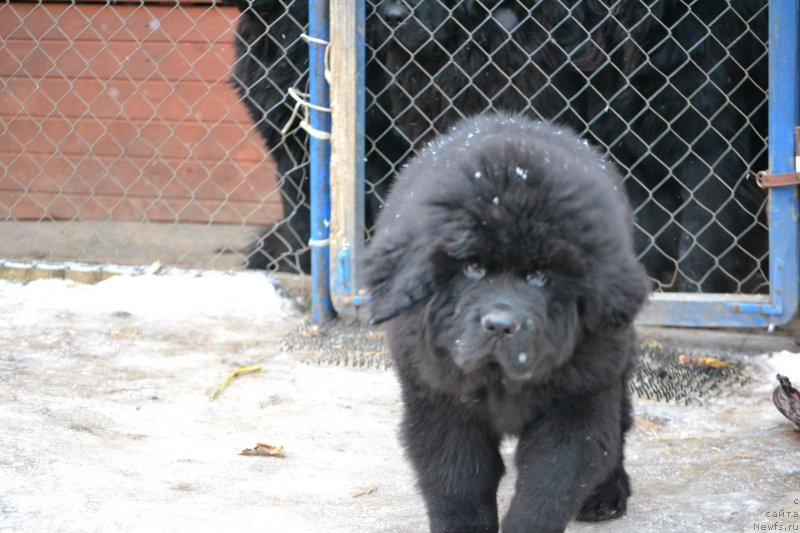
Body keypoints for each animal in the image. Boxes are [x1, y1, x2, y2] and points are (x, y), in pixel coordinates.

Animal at [362, 113, 648, 532]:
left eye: (541, 276)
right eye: (472, 267)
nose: (499, 325)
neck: (500, 380)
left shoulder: (580, 397)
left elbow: (550, 482)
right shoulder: (440, 402)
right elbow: (458, 481)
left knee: (620, 424)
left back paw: (608, 493)